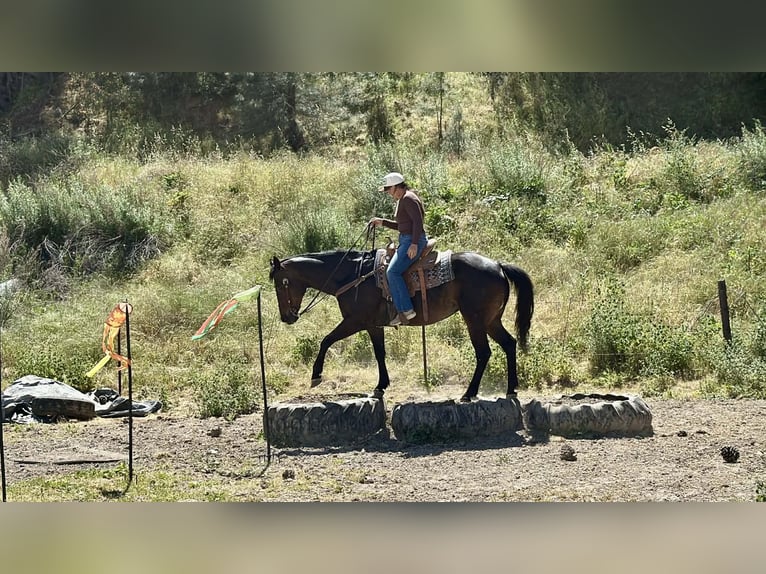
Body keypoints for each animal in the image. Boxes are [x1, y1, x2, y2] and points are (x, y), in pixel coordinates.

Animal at [269, 248, 534, 402]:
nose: (286, 317)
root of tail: (498, 265)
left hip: (475, 320)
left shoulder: (355, 321)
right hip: (491, 320)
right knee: (509, 344)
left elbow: (326, 340)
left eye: (280, 284)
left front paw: (316, 375)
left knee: (484, 353)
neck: (352, 275)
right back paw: (511, 389)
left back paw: (469, 393)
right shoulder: (373, 325)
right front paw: (381, 386)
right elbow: (380, 353)